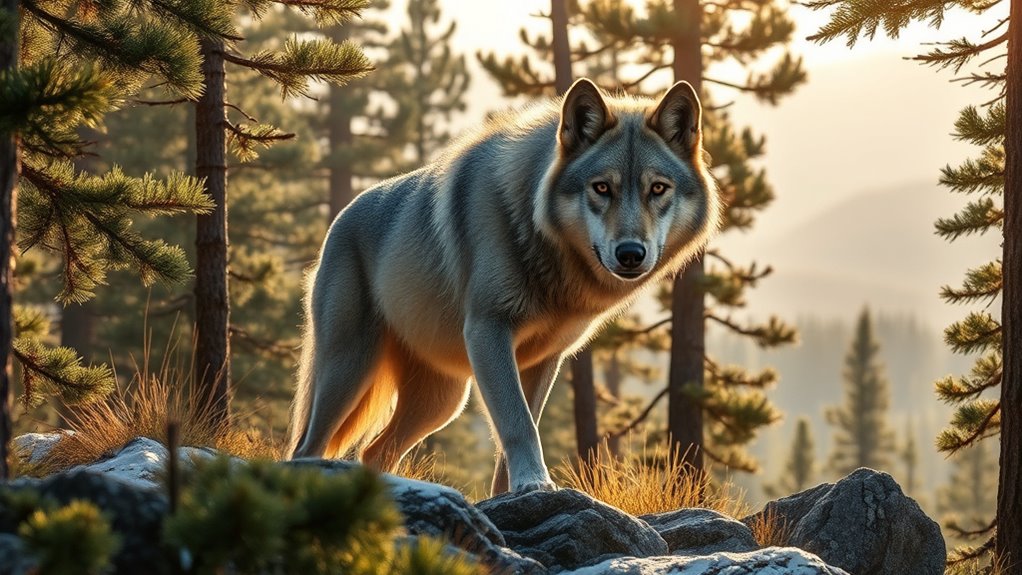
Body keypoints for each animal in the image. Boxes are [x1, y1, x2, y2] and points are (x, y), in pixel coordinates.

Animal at [288, 78, 721, 494]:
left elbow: (514, 437)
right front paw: (534, 482)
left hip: (442, 401)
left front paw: (510, 496)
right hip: (349, 371)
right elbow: (518, 424)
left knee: (374, 450)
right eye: (602, 188)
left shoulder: (545, 359)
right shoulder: (488, 332)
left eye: (658, 188)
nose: (631, 253)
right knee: (307, 446)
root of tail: (339, 219)